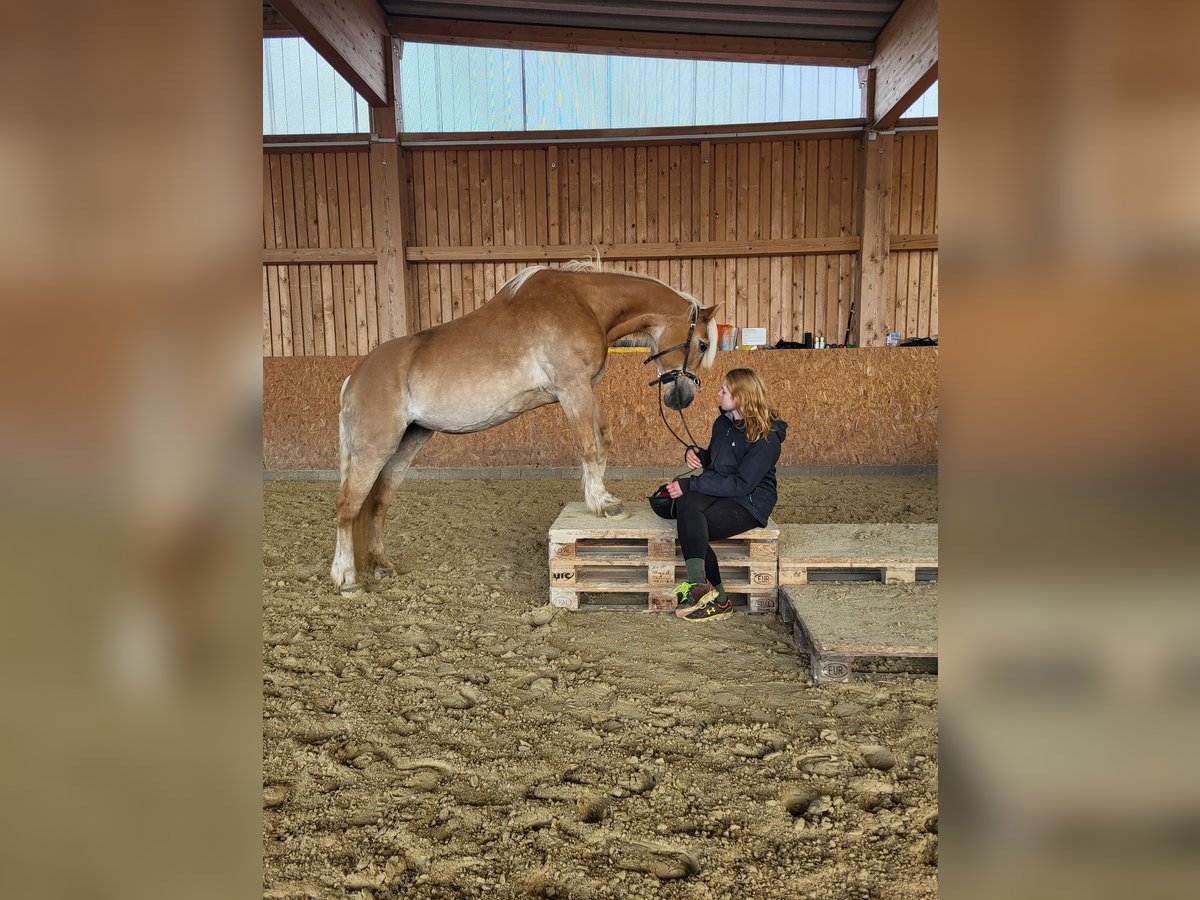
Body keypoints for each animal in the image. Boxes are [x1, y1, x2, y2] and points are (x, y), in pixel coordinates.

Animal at [328, 262, 715, 592]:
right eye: (703, 343)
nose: (682, 398)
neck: (584, 302)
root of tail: (353, 378)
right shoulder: (572, 389)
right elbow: (588, 445)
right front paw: (604, 503)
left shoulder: (584, 390)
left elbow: (603, 440)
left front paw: (599, 498)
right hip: (373, 451)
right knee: (348, 506)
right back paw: (347, 578)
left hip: (406, 446)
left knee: (378, 503)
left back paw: (381, 565)